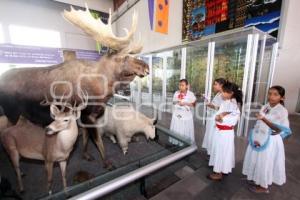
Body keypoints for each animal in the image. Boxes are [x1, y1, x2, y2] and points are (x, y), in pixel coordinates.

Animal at [0, 3, 149, 168]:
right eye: (125, 56)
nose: (146, 66)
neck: (103, 89)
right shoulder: (87, 115)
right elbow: (97, 141)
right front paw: (107, 163)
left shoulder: (85, 115)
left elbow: (85, 138)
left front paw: (86, 155)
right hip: (11, 113)